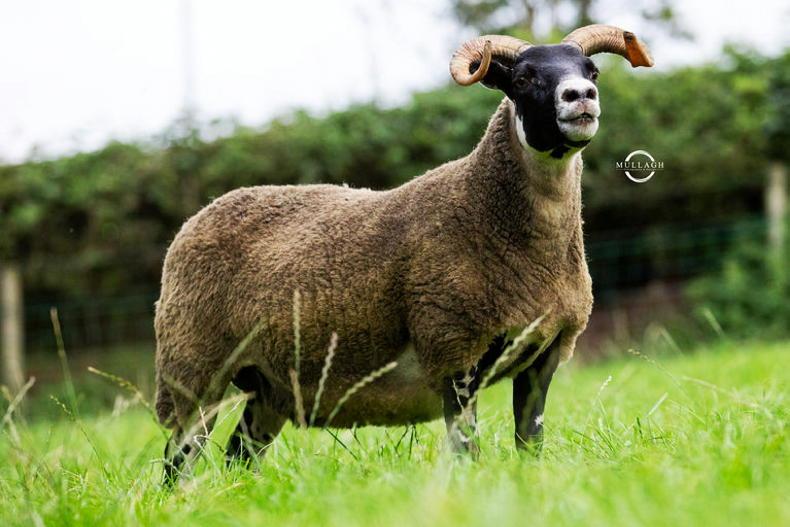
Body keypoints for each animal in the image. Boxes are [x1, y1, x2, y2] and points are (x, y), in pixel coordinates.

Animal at [155, 24, 653, 482]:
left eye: (592, 71)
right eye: (524, 77)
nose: (580, 96)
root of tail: (198, 217)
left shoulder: (543, 355)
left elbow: (530, 441)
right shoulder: (453, 346)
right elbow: (466, 447)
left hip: (267, 385)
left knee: (240, 454)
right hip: (192, 366)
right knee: (179, 457)